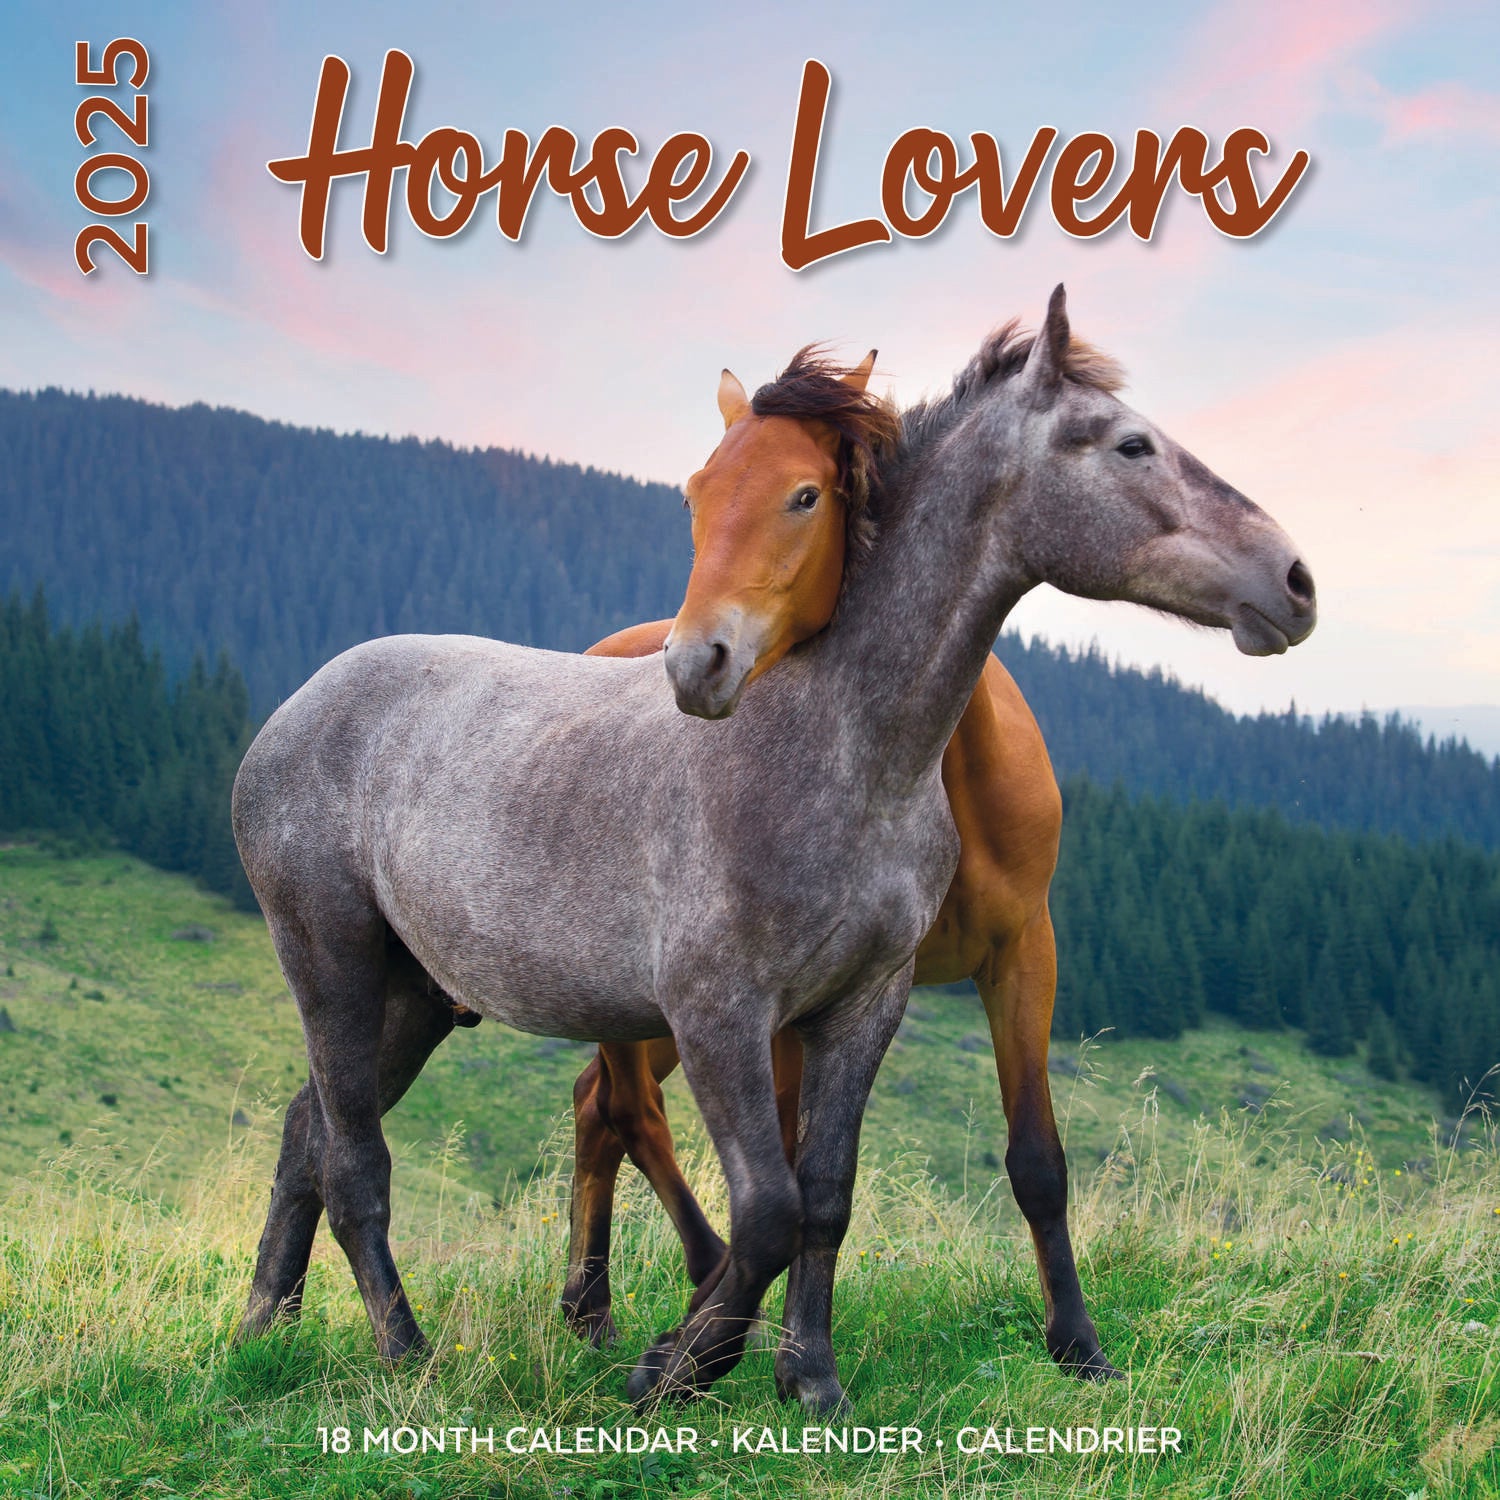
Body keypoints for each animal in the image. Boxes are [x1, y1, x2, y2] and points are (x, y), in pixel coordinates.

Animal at [232, 287, 1315, 1410]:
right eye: (1131, 445)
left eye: (806, 495)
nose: (1294, 579)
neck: (837, 756)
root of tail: (298, 705)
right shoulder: (720, 1015)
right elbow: (767, 1210)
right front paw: (677, 1366)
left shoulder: (863, 1004)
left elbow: (825, 1195)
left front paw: (810, 1380)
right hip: (334, 964)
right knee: (360, 1164)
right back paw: (407, 1353)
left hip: (416, 997)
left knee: (308, 1130)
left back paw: (264, 1327)